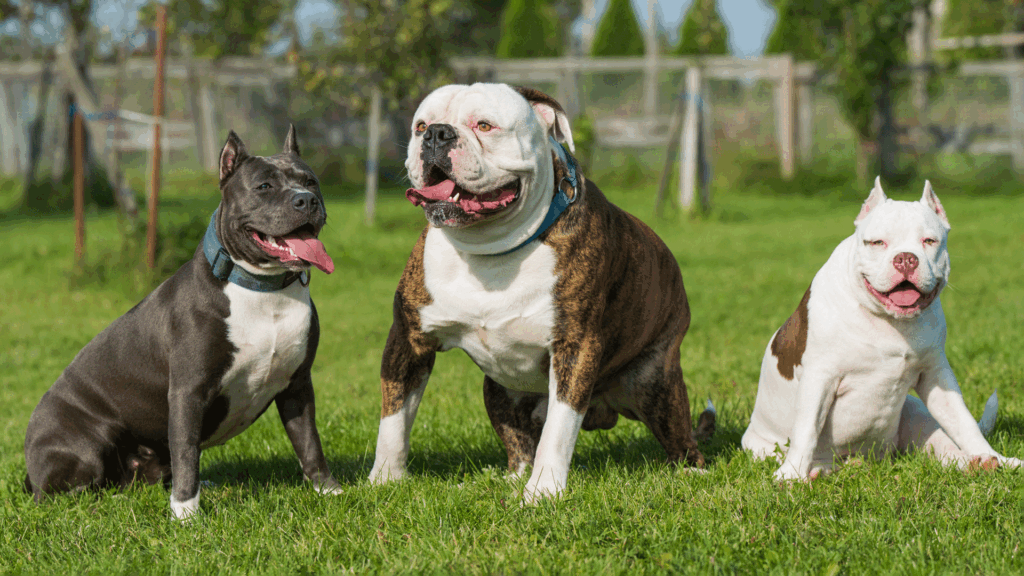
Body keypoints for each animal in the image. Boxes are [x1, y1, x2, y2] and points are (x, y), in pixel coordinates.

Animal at [741, 178, 1019, 479]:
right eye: (877, 242)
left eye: (929, 241)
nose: (906, 258)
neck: (890, 321)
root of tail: (863, 459)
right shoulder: (819, 378)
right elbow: (807, 428)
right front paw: (791, 474)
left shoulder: (936, 376)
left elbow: (963, 421)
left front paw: (994, 456)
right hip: (764, 447)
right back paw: (813, 472)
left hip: (917, 414)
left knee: (946, 446)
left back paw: (980, 462)